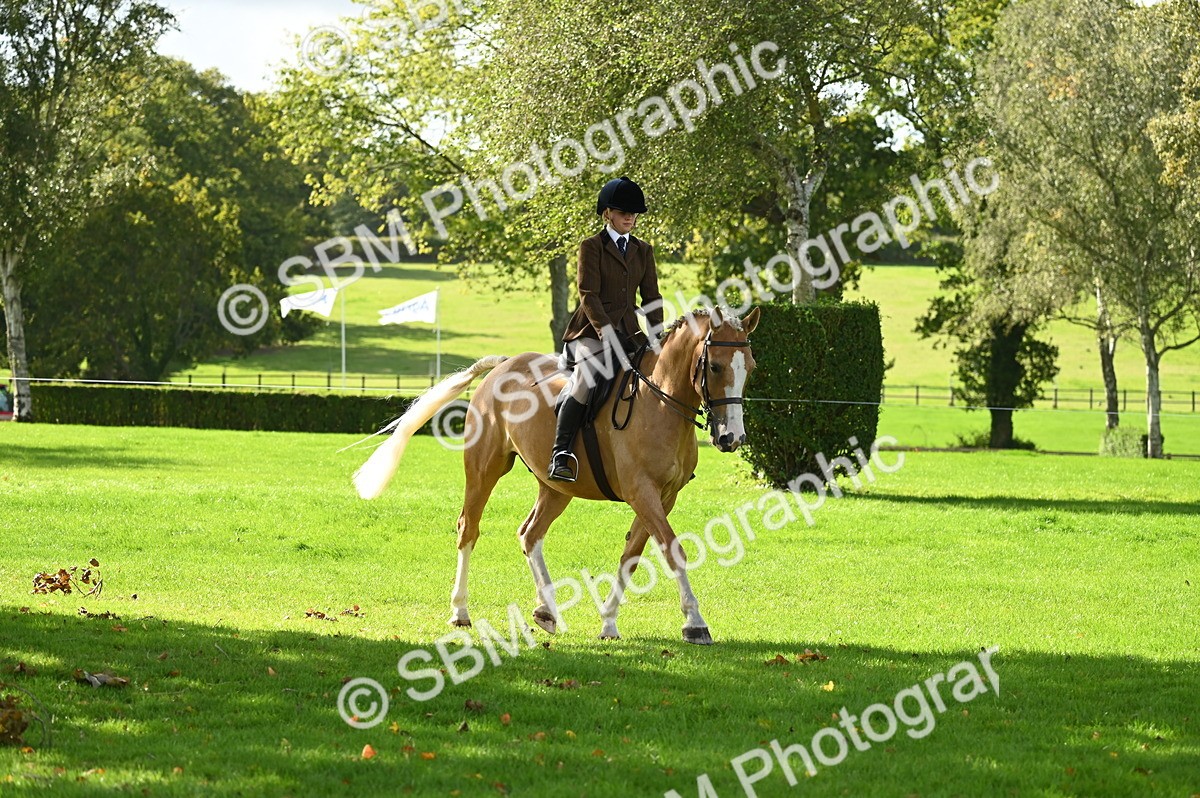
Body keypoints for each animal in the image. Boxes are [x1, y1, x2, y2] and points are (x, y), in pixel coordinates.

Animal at [353, 306, 760, 645]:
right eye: (715, 367)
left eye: (750, 367)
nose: (732, 438)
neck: (659, 402)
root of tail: (503, 365)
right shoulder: (642, 492)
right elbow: (673, 549)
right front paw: (695, 623)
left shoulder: (663, 496)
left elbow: (632, 554)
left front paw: (608, 623)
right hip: (484, 469)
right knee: (468, 528)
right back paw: (460, 611)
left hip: (555, 486)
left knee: (530, 533)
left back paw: (546, 611)